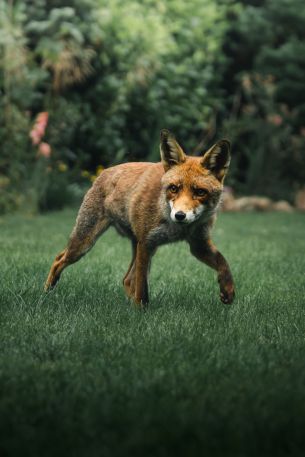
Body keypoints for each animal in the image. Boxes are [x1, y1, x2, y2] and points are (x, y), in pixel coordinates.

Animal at [45, 128, 234, 306]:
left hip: (140, 247)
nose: (180, 215)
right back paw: (47, 291)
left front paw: (228, 290)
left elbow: (223, 263)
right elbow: (142, 288)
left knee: (127, 280)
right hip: (85, 242)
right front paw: (140, 311)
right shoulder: (146, 243)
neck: (178, 228)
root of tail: (105, 171)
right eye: (174, 188)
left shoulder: (198, 244)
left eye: (200, 192)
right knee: (59, 259)